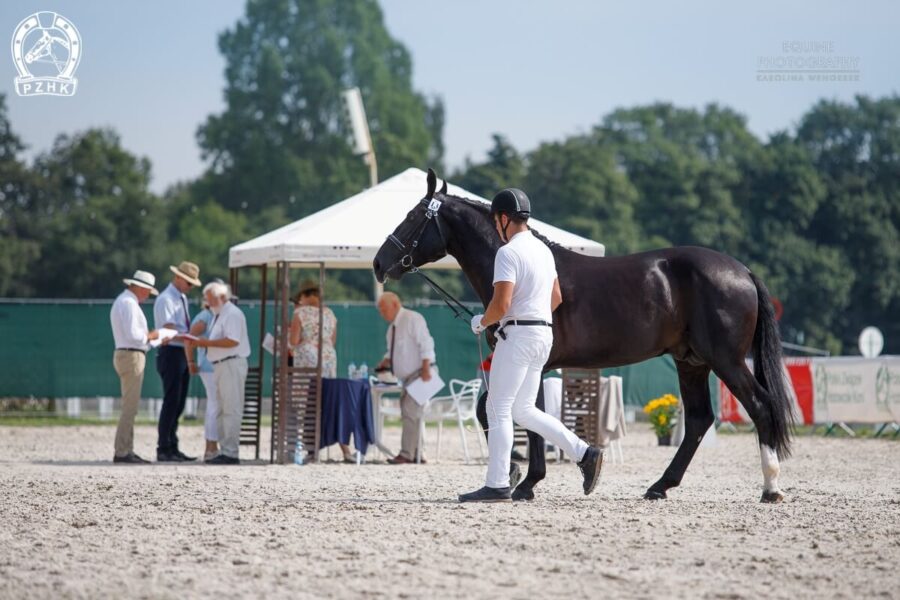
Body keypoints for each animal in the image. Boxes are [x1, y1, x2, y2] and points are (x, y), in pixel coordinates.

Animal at [372, 169, 796, 502]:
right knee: (697, 420)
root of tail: (742, 271)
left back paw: (770, 487)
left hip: (725, 360)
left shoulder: (536, 366)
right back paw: (659, 486)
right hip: (690, 362)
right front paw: (517, 472)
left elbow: (526, 420)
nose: (378, 263)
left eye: (412, 217)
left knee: (759, 407)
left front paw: (523, 481)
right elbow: (499, 413)